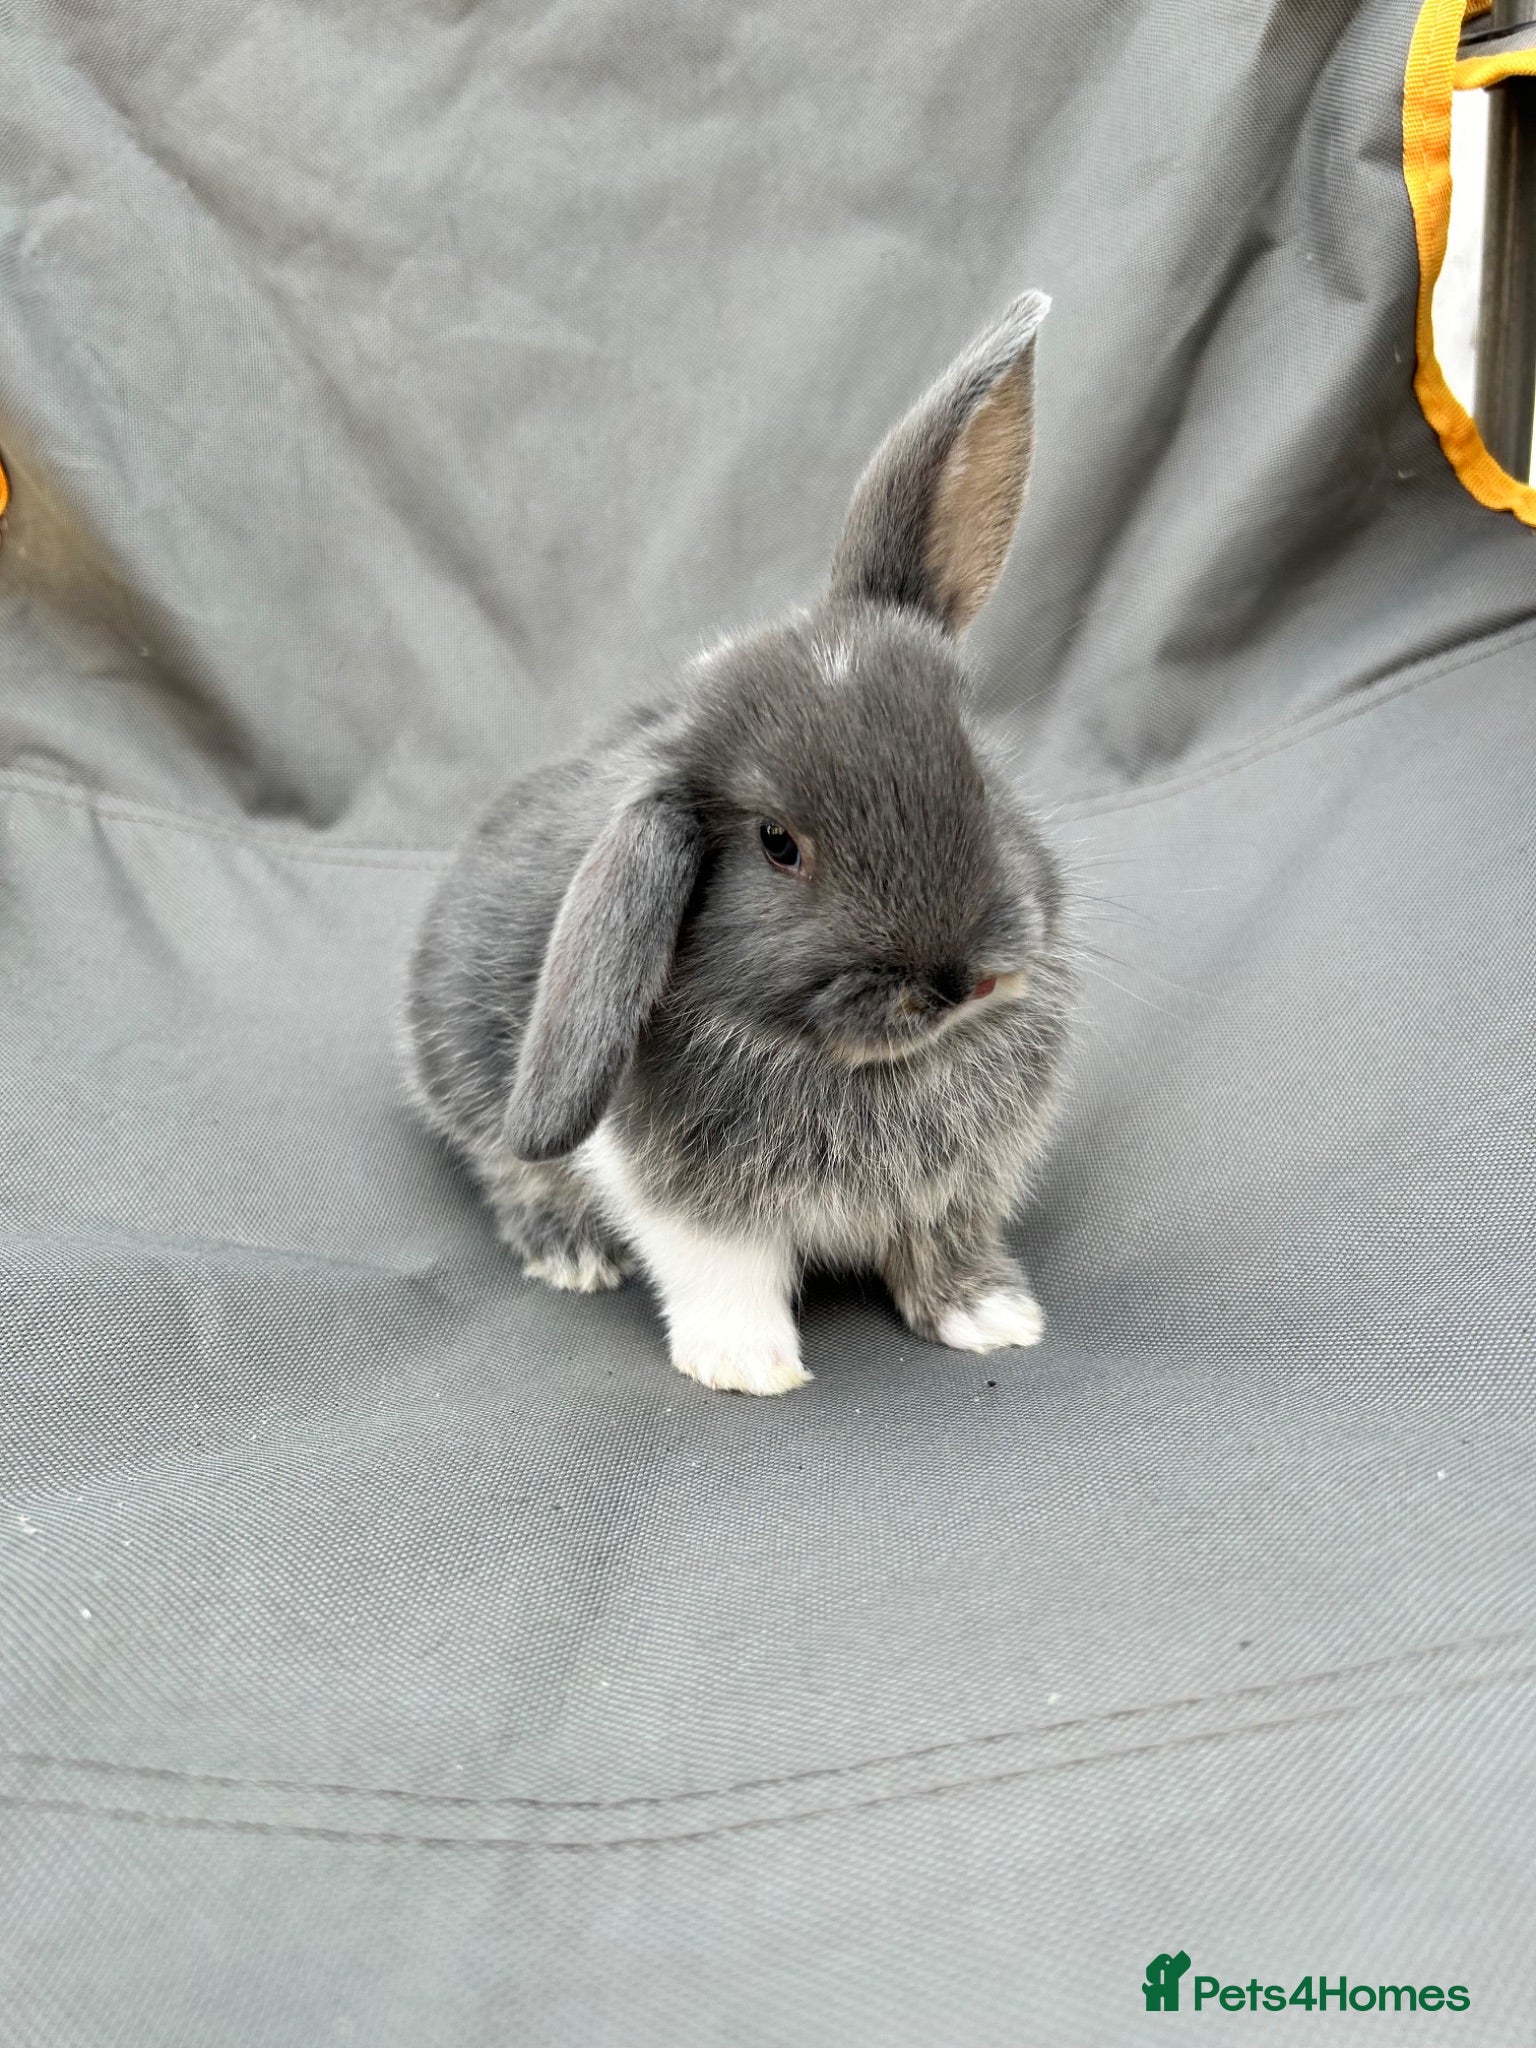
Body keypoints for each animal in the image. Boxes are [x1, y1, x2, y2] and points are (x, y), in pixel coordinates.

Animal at [404, 290, 1073, 1395]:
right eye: (777, 843)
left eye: (974, 763)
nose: (958, 979)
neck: (864, 1066)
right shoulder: (680, 1195)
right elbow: (723, 1270)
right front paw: (749, 1366)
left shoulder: (959, 1188)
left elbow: (944, 1245)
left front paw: (992, 1318)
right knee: (508, 1166)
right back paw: (569, 1253)